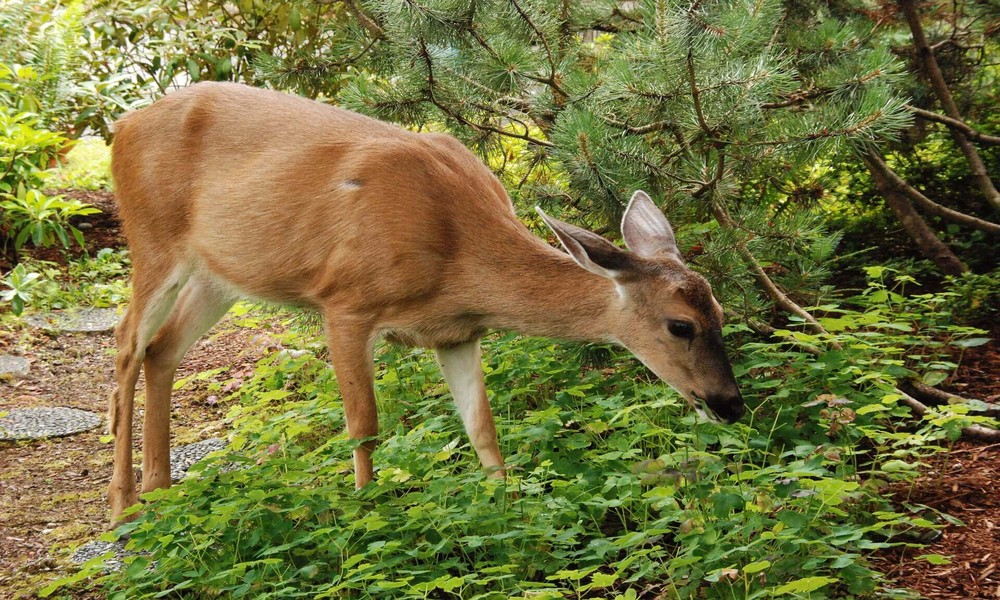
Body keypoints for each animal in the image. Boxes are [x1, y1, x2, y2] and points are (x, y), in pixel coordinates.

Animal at [106, 82, 744, 523]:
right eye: (680, 326)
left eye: (721, 314)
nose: (732, 405)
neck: (457, 255)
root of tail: (122, 124)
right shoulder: (345, 301)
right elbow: (364, 425)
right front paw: (366, 509)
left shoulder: (457, 333)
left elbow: (483, 427)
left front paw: (506, 504)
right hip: (153, 239)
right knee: (126, 343)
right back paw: (123, 507)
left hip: (218, 275)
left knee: (163, 349)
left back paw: (161, 490)